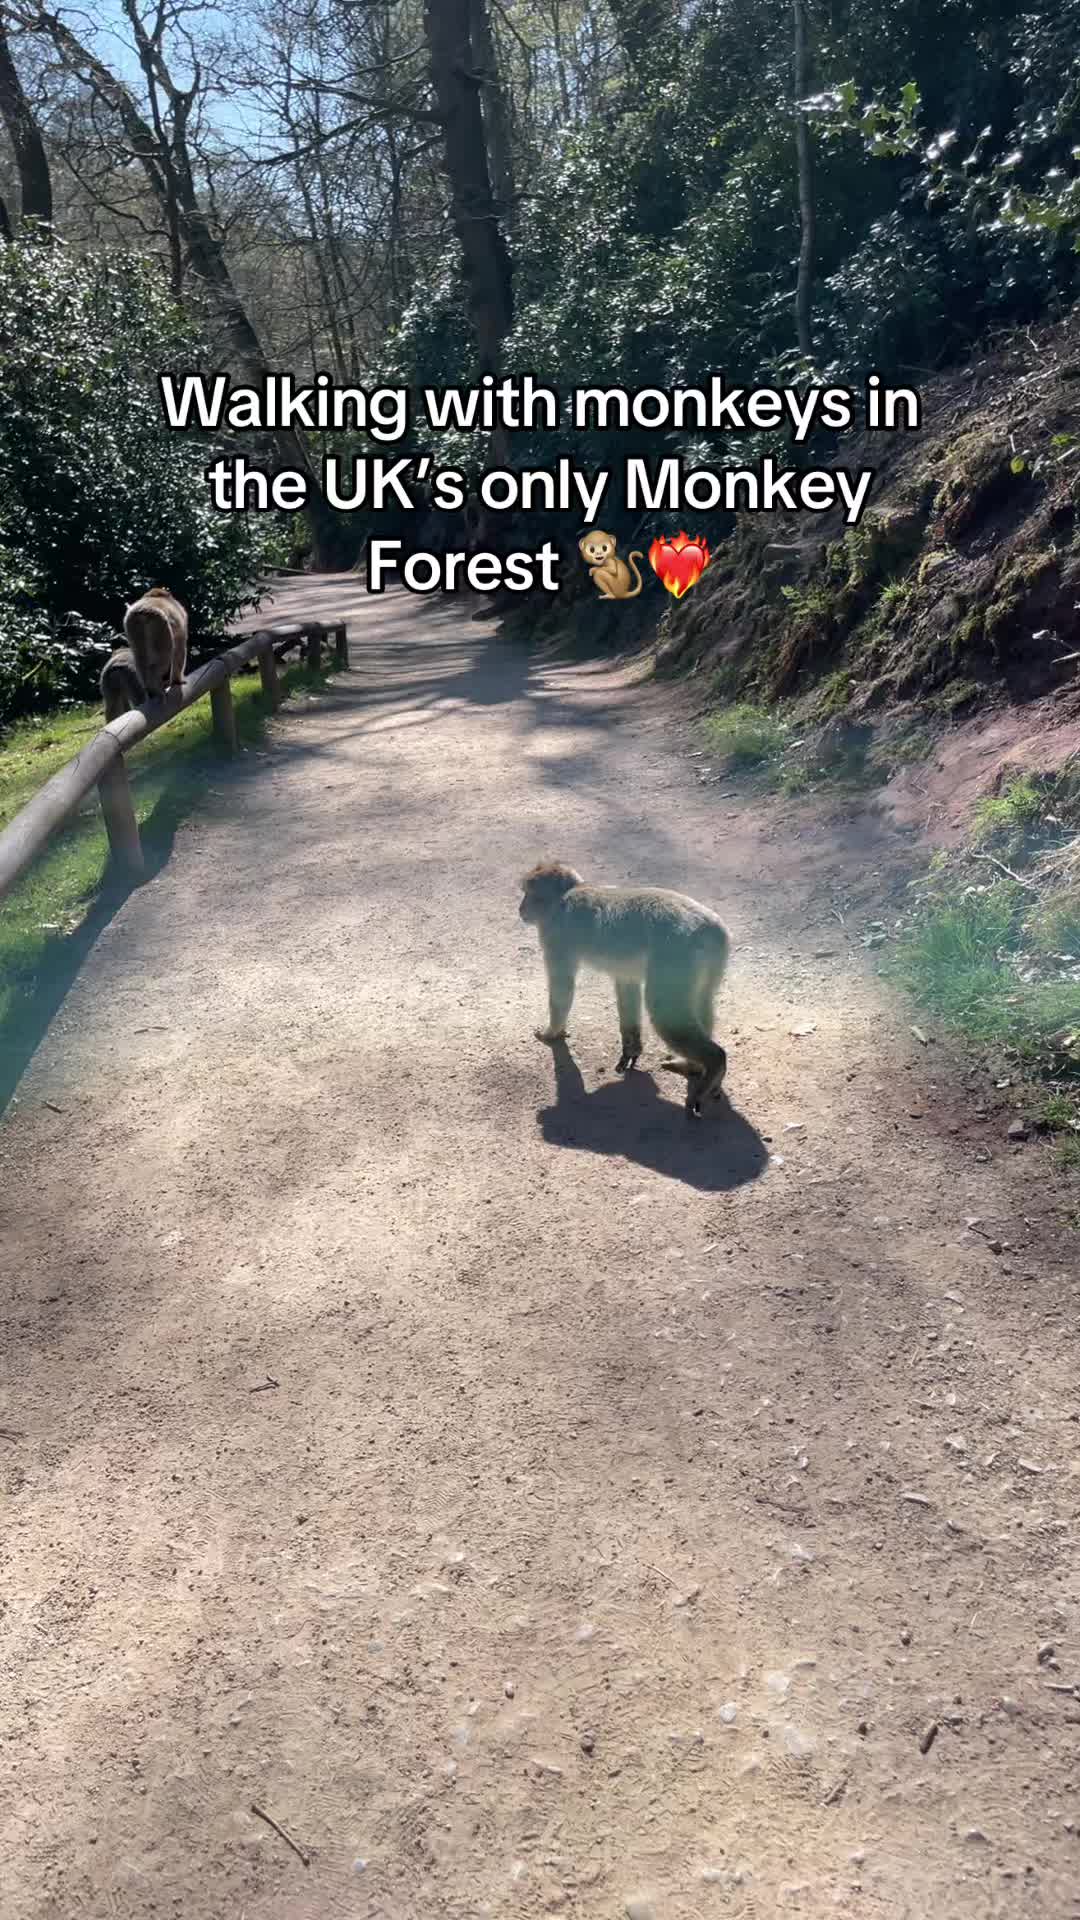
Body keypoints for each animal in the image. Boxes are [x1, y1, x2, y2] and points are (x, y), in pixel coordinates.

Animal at [518, 860, 730, 1116]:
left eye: (529, 894)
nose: (520, 909)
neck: (564, 895)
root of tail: (712, 929)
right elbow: (627, 985)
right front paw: (631, 1048)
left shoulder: (556, 935)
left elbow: (562, 987)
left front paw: (551, 1033)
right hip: (708, 964)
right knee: (702, 1003)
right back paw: (693, 1067)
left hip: (678, 954)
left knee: (664, 1008)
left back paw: (714, 1064)